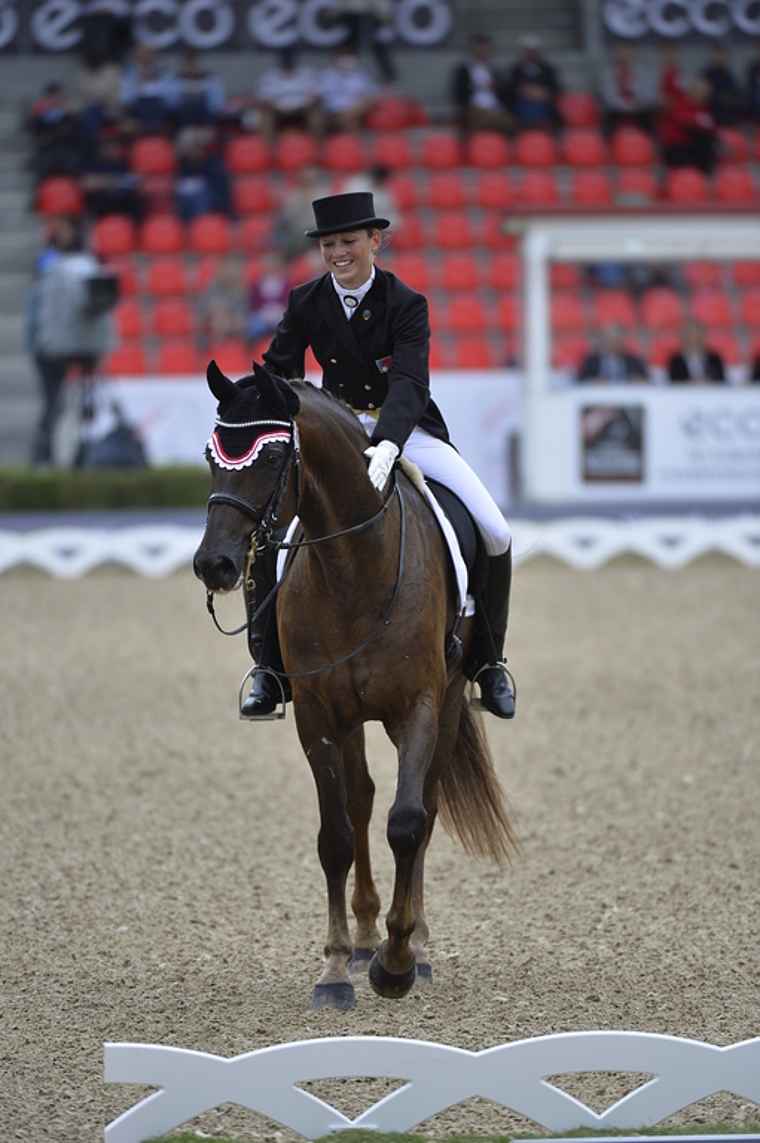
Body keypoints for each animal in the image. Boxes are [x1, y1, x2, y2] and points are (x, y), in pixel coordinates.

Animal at [193, 361, 518, 1014]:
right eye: (212, 456)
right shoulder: (318, 716)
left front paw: (397, 963)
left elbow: (408, 821)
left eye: (272, 457)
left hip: (448, 703)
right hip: (351, 718)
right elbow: (337, 835)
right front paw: (339, 966)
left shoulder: (419, 706)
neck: (353, 568)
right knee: (362, 798)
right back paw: (368, 937)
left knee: (425, 805)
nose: (214, 565)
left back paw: (412, 942)